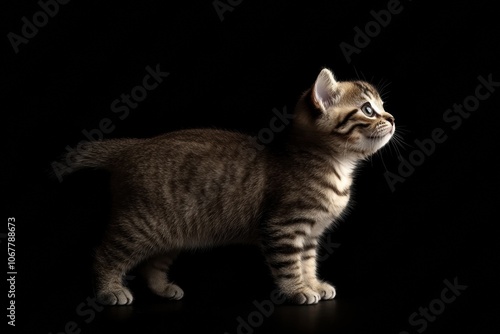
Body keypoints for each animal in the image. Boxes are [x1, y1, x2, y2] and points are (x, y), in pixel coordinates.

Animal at [64, 68, 396, 306]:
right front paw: (297, 290)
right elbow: (290, 264)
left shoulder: (310, 234)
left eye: (382, 106)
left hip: (169, 231)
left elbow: (308, 262)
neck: (335, 165)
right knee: (104, 253)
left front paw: (312, 283)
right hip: (141, 224)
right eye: (368, 109)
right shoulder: (283, 227)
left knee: (151, 265)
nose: (392, 118)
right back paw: (109, 290)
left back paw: (162, 288)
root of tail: (134, 147)